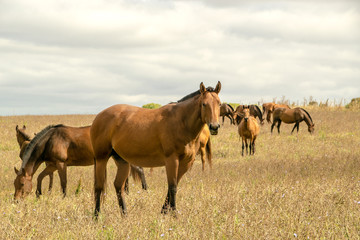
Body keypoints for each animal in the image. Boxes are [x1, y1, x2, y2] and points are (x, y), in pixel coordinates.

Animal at [13, 124, 147, 200]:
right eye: (14, 184)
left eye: (22, 184)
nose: (16, 200)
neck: (49, 140)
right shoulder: (52, 165)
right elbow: (40, 177)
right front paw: (38, 194)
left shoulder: (61, 164)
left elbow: (63, 182)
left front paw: (64, 198)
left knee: (139, 170)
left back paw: (144, 191)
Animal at [90, 81, 222, 217]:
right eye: (204, 104)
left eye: (219, 103)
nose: (214, 127)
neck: (181, 122)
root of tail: (99, 116)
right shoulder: (172, 160)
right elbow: (173, 187)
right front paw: (174, 214)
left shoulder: (186, 163)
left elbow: (172, 187)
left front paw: (164, 211)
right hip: (101, 159)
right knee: (99, 187)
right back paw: (96, 216)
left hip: (122, 161)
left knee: (118, 185)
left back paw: (124, 215)